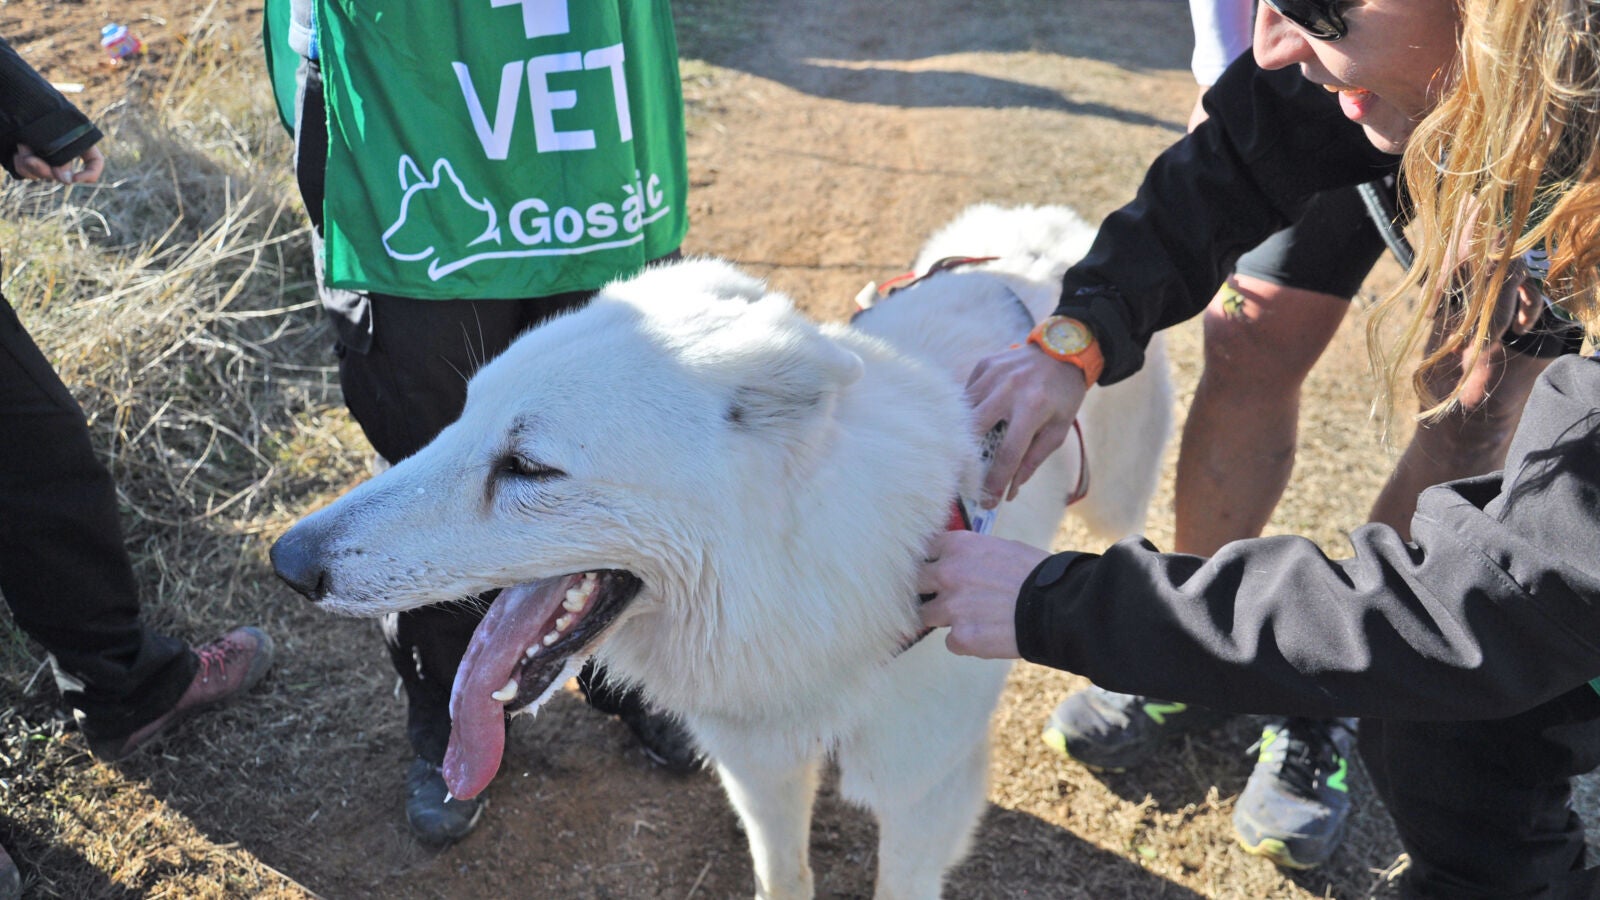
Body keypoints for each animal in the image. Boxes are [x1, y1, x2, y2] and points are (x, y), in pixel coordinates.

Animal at [272, 204, 1172, 899]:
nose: (287, 563)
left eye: (528, 467)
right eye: (459, 419)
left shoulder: (924, 796)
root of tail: (1036, 229)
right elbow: (784, 876)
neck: (797, 589)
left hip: (1118, 497)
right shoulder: (759, 771)